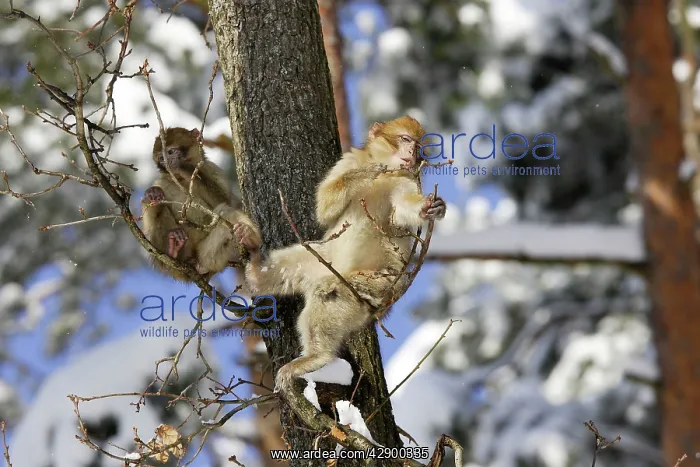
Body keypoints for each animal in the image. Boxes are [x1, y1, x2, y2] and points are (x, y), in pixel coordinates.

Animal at [141, 127, 261, 282]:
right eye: (161, 158)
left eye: (170, 152)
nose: (168, 163)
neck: (182, 181)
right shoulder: (160, 181)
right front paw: (152, 194)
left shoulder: (212, 168)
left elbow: (225, 200)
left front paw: (185, 168)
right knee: (161, 212)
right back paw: (173, 250)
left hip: (206, 254)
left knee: (224, 212)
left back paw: (246, 237)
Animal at [242, 116, 446, 391]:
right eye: (406, 140)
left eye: (418, 147)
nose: (412, 154)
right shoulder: (349, 161)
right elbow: (324, 207)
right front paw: (365, 174)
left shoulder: (406, 180)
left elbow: (405, 208)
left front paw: (430, 208)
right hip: (323, 258)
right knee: (294, 265)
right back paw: (257, 271)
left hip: (378, 283)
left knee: (330, 292)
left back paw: (317, 357)